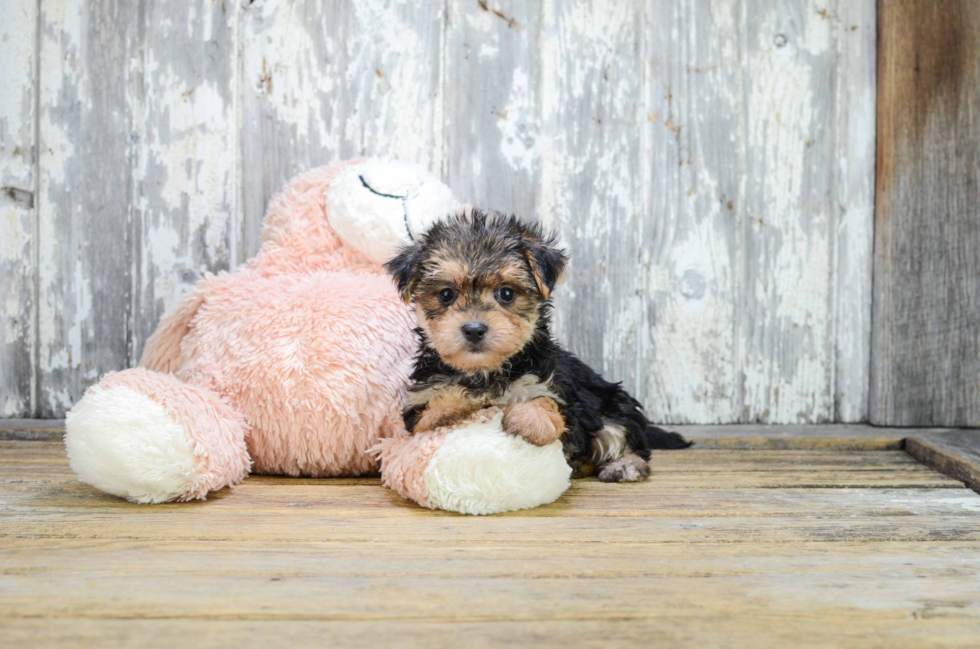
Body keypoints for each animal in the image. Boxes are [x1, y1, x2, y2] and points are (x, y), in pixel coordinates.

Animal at [382, 209, 688, 480]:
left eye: (506, 293)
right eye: (446, 294)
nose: (474, 329)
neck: (486, 371)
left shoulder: (555, 389)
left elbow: (547, 403)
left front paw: (531, 419)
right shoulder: (419, 405)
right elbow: (433, 410)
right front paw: (460, 400)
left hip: (613, 403)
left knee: (625, 435)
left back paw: (624, 465)